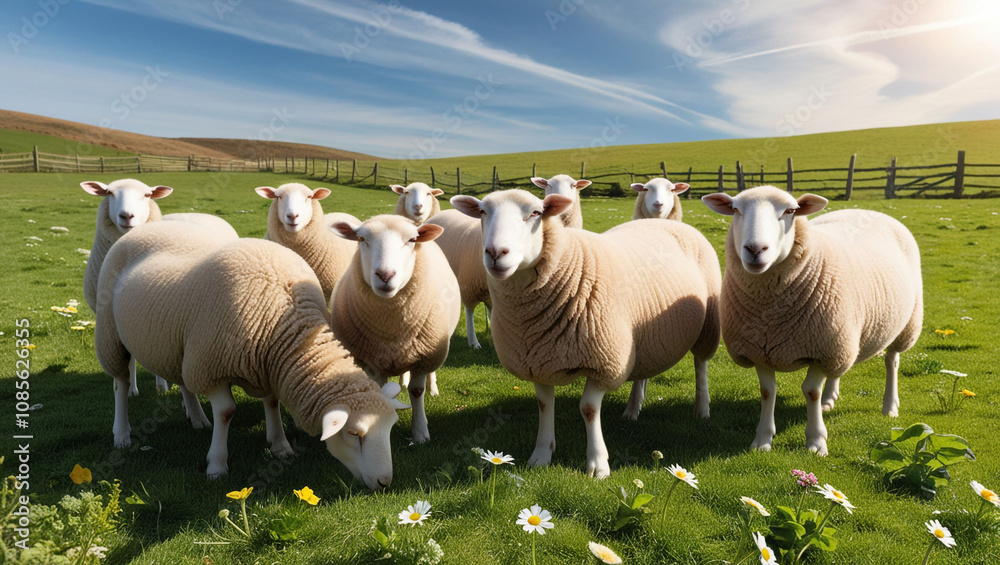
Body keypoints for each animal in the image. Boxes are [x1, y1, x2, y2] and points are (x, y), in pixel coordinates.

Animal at [81, 178, 239, 398]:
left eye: (147, 195)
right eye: (109, 193)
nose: (126, 215)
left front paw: (162, 387)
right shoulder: (112, 316)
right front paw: (132, 389)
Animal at [94, 221, 410, 488]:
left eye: (391, 428)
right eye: (354, 434)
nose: (384, 483)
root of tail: (149, 226)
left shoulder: (263, 363)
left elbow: (271, 402)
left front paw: (280, 445)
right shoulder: (213, 366)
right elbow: (226, 412)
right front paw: (216, 465)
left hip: (178, 346)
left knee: (183, 382)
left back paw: (197, 419)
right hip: (110, 335)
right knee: (120, 384)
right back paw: (122, 434)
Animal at [328, 215, 460, 443]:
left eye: (412, 240)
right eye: (361, 239)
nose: (385, 275)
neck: (391, 328)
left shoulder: (424, 358)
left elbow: (416, 392)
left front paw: (420, 432)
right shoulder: (370, 361)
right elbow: (380, 392)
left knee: (430, 374)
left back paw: (432, 389)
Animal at [451, 189, 721, 478]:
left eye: (536, 213)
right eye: (482, 211)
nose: (495, 252)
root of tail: (668, 223)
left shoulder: (604, 361)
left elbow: (589, 409)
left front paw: (598, 465)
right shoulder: (537, 359)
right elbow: (544, 405)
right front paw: (541, 455)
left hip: (707, 324)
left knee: (701, 364)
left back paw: (701, 408)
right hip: (644, 337)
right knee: (643, 372)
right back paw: (632, 409)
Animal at [702, 186, 923, 457]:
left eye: (790, 211)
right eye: (735, 210)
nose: (755, 249)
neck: (769, 314)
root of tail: (867, 210)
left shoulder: (820, 349)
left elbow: (811, 391)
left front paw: (816, 441)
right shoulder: (760, 349)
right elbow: (767, 391)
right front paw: (762, 439)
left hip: (903, 325)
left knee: (892, 361)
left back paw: (889, 406)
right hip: (842, 335)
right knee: (839, 368)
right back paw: (830, 398)